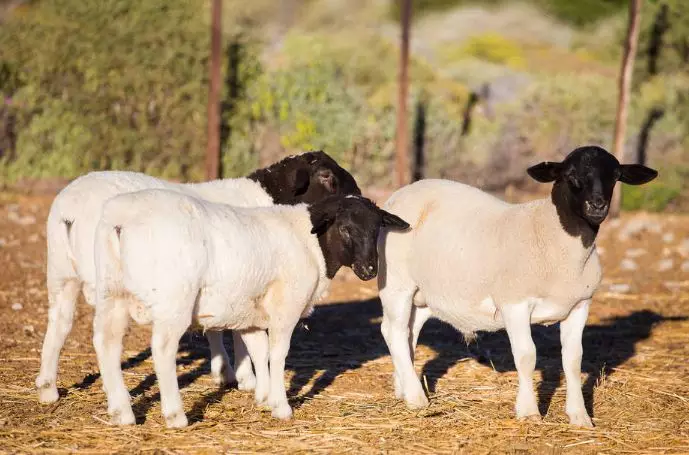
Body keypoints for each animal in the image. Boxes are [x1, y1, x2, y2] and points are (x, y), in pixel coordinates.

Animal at [35, 151, 360, 404]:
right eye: (326, 176)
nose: (357, 195)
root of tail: (70, 211)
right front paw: (246, 378)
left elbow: (216, 326)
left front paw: (225, 371)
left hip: (60, 274)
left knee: (60, 323)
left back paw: (48, 389)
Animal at [91, 190, 408, 428]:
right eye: (345, 228)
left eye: (377, 229)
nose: (369, 270)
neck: (311, 243)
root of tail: (121, 220)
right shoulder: (286, 306)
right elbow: (278, 354)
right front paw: (281, 406)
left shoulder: (251, 314)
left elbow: (259, 351)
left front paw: (264, 397)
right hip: (174, 300)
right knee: (162, 350)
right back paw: (175, 415)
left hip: (110, 294)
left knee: (106, 344)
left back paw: (121, 412)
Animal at [376, 146, 656, 428]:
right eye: (570, 175)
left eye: (615, 176)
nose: (597, 205)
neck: (552, 235)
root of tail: (401, 193)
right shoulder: (515, 303)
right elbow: (526, 355)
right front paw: (529, 411)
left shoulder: (580, 305)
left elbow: (573, 359)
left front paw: (579, 416)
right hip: (396, 284)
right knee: (394, 332)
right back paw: (416, 398)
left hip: (424, 294)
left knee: (407, 333)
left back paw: (404, 388)